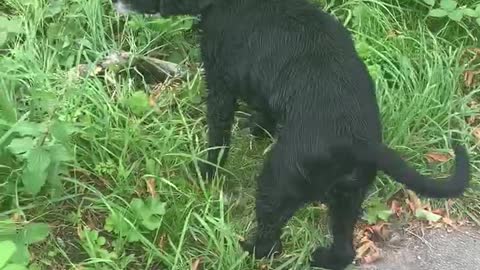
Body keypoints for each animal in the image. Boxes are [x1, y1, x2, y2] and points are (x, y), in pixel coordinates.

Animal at [113, 1, 468, 268]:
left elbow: (218, 133)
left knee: (271, 241)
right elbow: (264, 112)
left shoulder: (221, 82)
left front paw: (205, 172)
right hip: (347, 198)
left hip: (277, 181)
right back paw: (322, 259)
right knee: (344, 248)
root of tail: (359, 143)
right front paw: (258, 130)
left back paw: (246, 248)